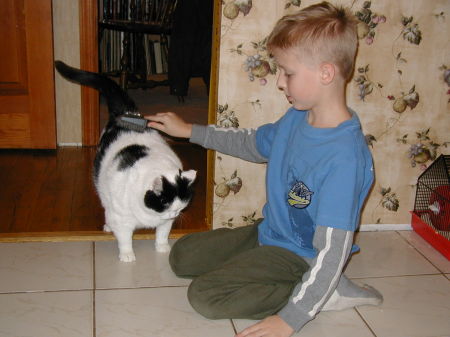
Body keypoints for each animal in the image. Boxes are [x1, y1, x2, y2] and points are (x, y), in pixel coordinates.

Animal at [54, 60, 195, 262]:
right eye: (165, 202)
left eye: (182, 202)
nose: (175, 213)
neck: (151, 215)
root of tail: (127, 112)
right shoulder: (122, 218)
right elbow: (125, 238)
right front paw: (127, 255)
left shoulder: (165, 222)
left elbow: (162, 233)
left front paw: (162, 247)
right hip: (101, 186)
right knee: (106, 205)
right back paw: (108, 226)